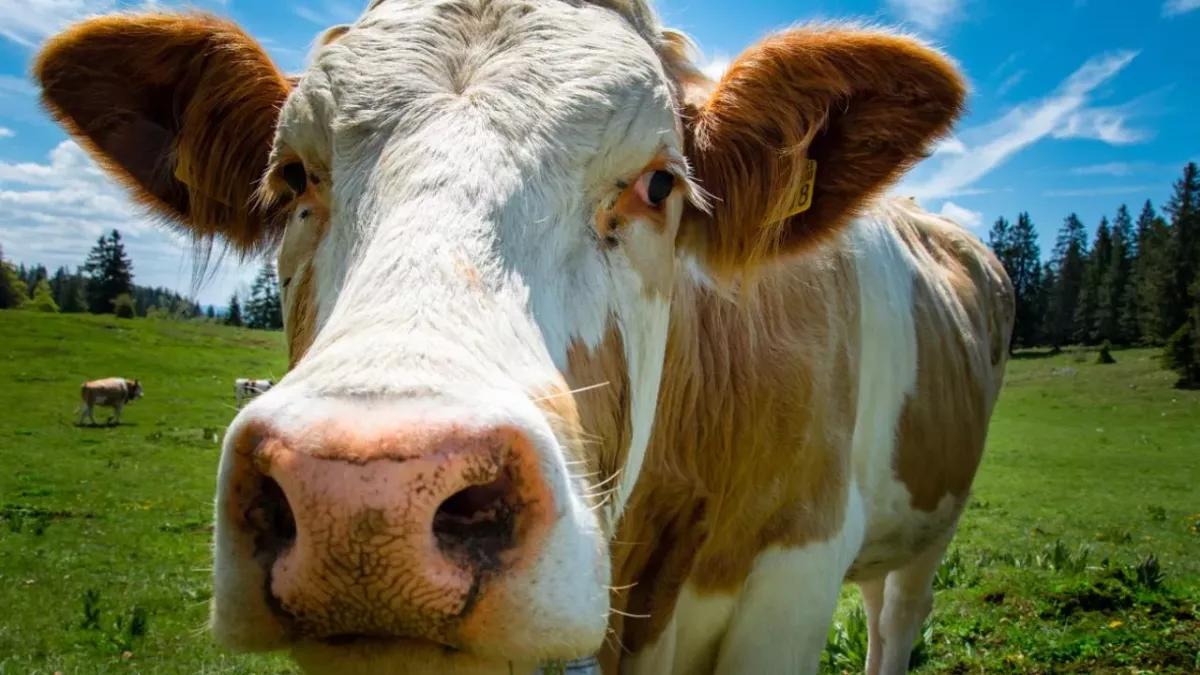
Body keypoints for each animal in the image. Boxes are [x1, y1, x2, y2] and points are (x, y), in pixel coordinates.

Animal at [33, 3, 1014, 675]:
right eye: (291, 175)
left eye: (659, 184)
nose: (363, 498)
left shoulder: (791, 576)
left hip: (932, 525)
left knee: (897, 615)